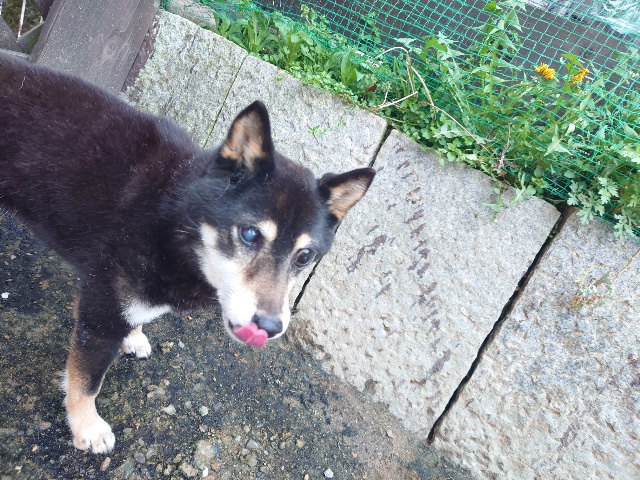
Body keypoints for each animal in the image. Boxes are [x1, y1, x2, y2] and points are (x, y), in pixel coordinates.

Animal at [0, 53, 375, 453]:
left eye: (304, 257)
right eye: (249, 234)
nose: (271, 327)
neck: (172, 218)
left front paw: (133, 336)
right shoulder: (100, 316)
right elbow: (87, 382)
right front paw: (88, 428)